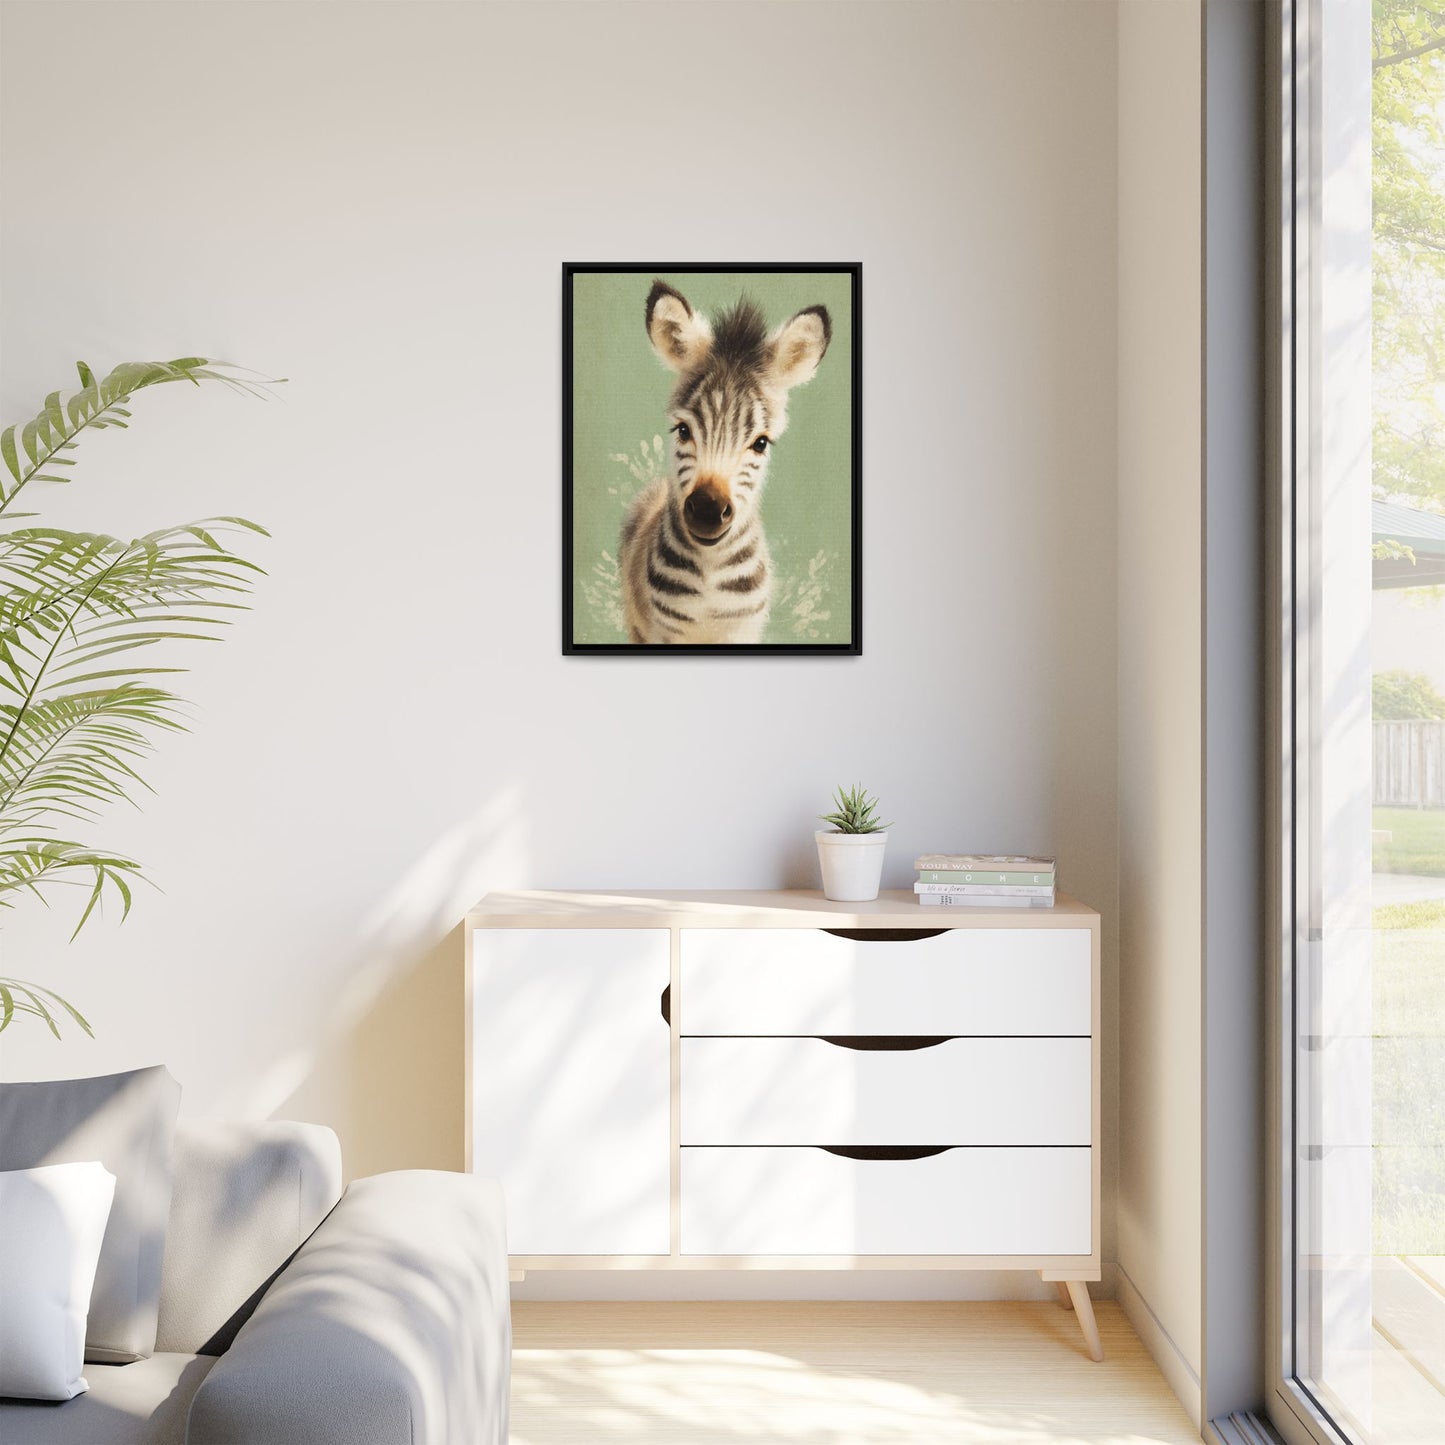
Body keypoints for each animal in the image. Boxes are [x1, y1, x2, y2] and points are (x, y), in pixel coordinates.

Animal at [619, 280, 831, 645]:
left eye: (760, 443)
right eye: (683, 430)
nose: (707, 511)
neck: (710, 575)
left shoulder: (743, 631)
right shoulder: (662, 631)